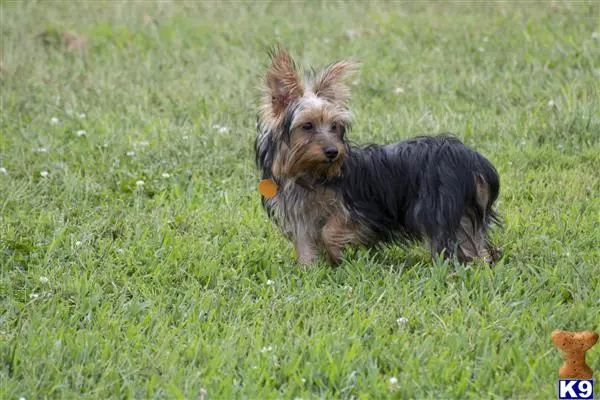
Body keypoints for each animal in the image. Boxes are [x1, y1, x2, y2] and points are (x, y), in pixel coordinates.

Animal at [254, 47, 502, 266]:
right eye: (307, 126)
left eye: (334, 126)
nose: (333, 152)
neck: (310, 174)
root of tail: (473, 159)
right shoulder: (300, 216)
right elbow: (306, 244)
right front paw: (310, 268)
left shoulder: (361, 211)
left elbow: (329, 231)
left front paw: (334, 254)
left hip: (438, 206)